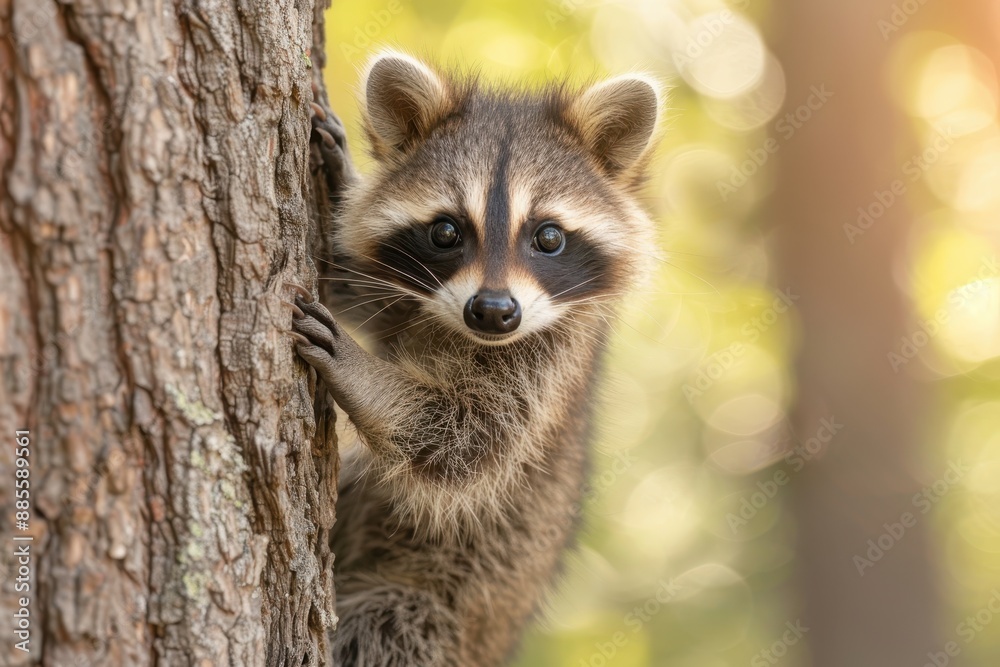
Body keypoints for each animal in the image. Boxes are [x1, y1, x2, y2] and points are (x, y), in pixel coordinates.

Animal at [292, 51, 661, 666]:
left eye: (549, 237)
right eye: (445, 231)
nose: (492, 311)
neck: (470, 337)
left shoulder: (550, 365)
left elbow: (466, 440)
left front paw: (359, 374)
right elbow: (368, 293)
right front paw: (345, 190)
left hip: (437, 614)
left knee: (383, 626)